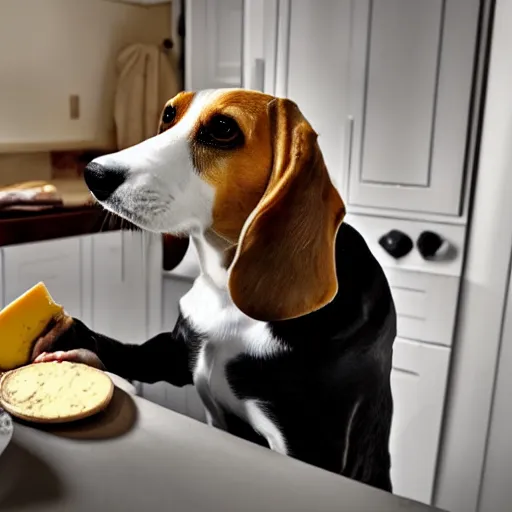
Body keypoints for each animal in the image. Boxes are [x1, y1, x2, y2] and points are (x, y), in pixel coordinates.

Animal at [34, 89, 398, 492]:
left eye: (223, 129)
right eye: (168, 115)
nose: (93, 173)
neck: (225, 289)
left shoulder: (307, 446)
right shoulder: (175, 355)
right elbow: (130, 353)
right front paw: (70, 338)